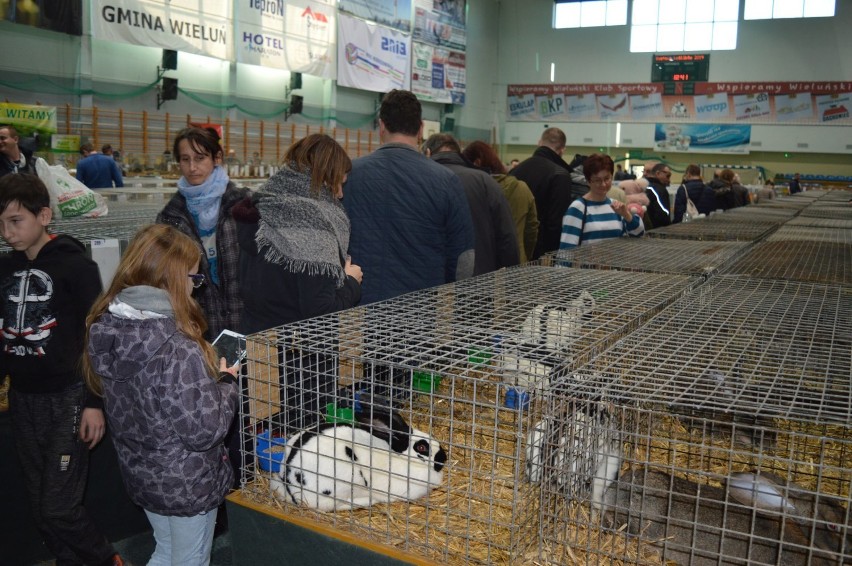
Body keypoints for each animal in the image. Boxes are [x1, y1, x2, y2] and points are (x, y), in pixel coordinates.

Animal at [272, 408, 446, 516]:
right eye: (422, 447)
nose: (443, 457)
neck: (400, 456)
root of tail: (288, 484)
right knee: (333, 506)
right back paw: (366, 501)